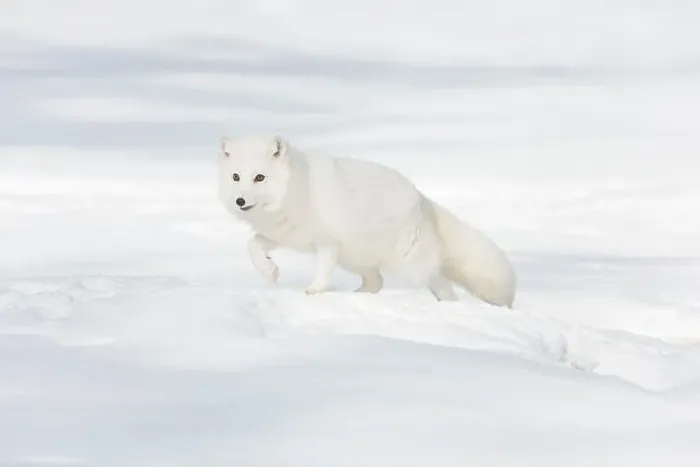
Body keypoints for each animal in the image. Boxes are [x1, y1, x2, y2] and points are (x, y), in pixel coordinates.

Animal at [218, 134, 517, 307]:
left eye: (259, 177)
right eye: (236, 177)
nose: (240, 201)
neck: (298, 189)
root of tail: (422, 199)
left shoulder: (328, 242)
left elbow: (323, 269)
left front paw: (315, 291)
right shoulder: (284, 235)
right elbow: (252, 245)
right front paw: (269, 271)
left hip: (409, 264)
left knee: (442, 283)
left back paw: (447, 306)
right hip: (356, 259)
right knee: (377, 282)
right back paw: (357, 296)